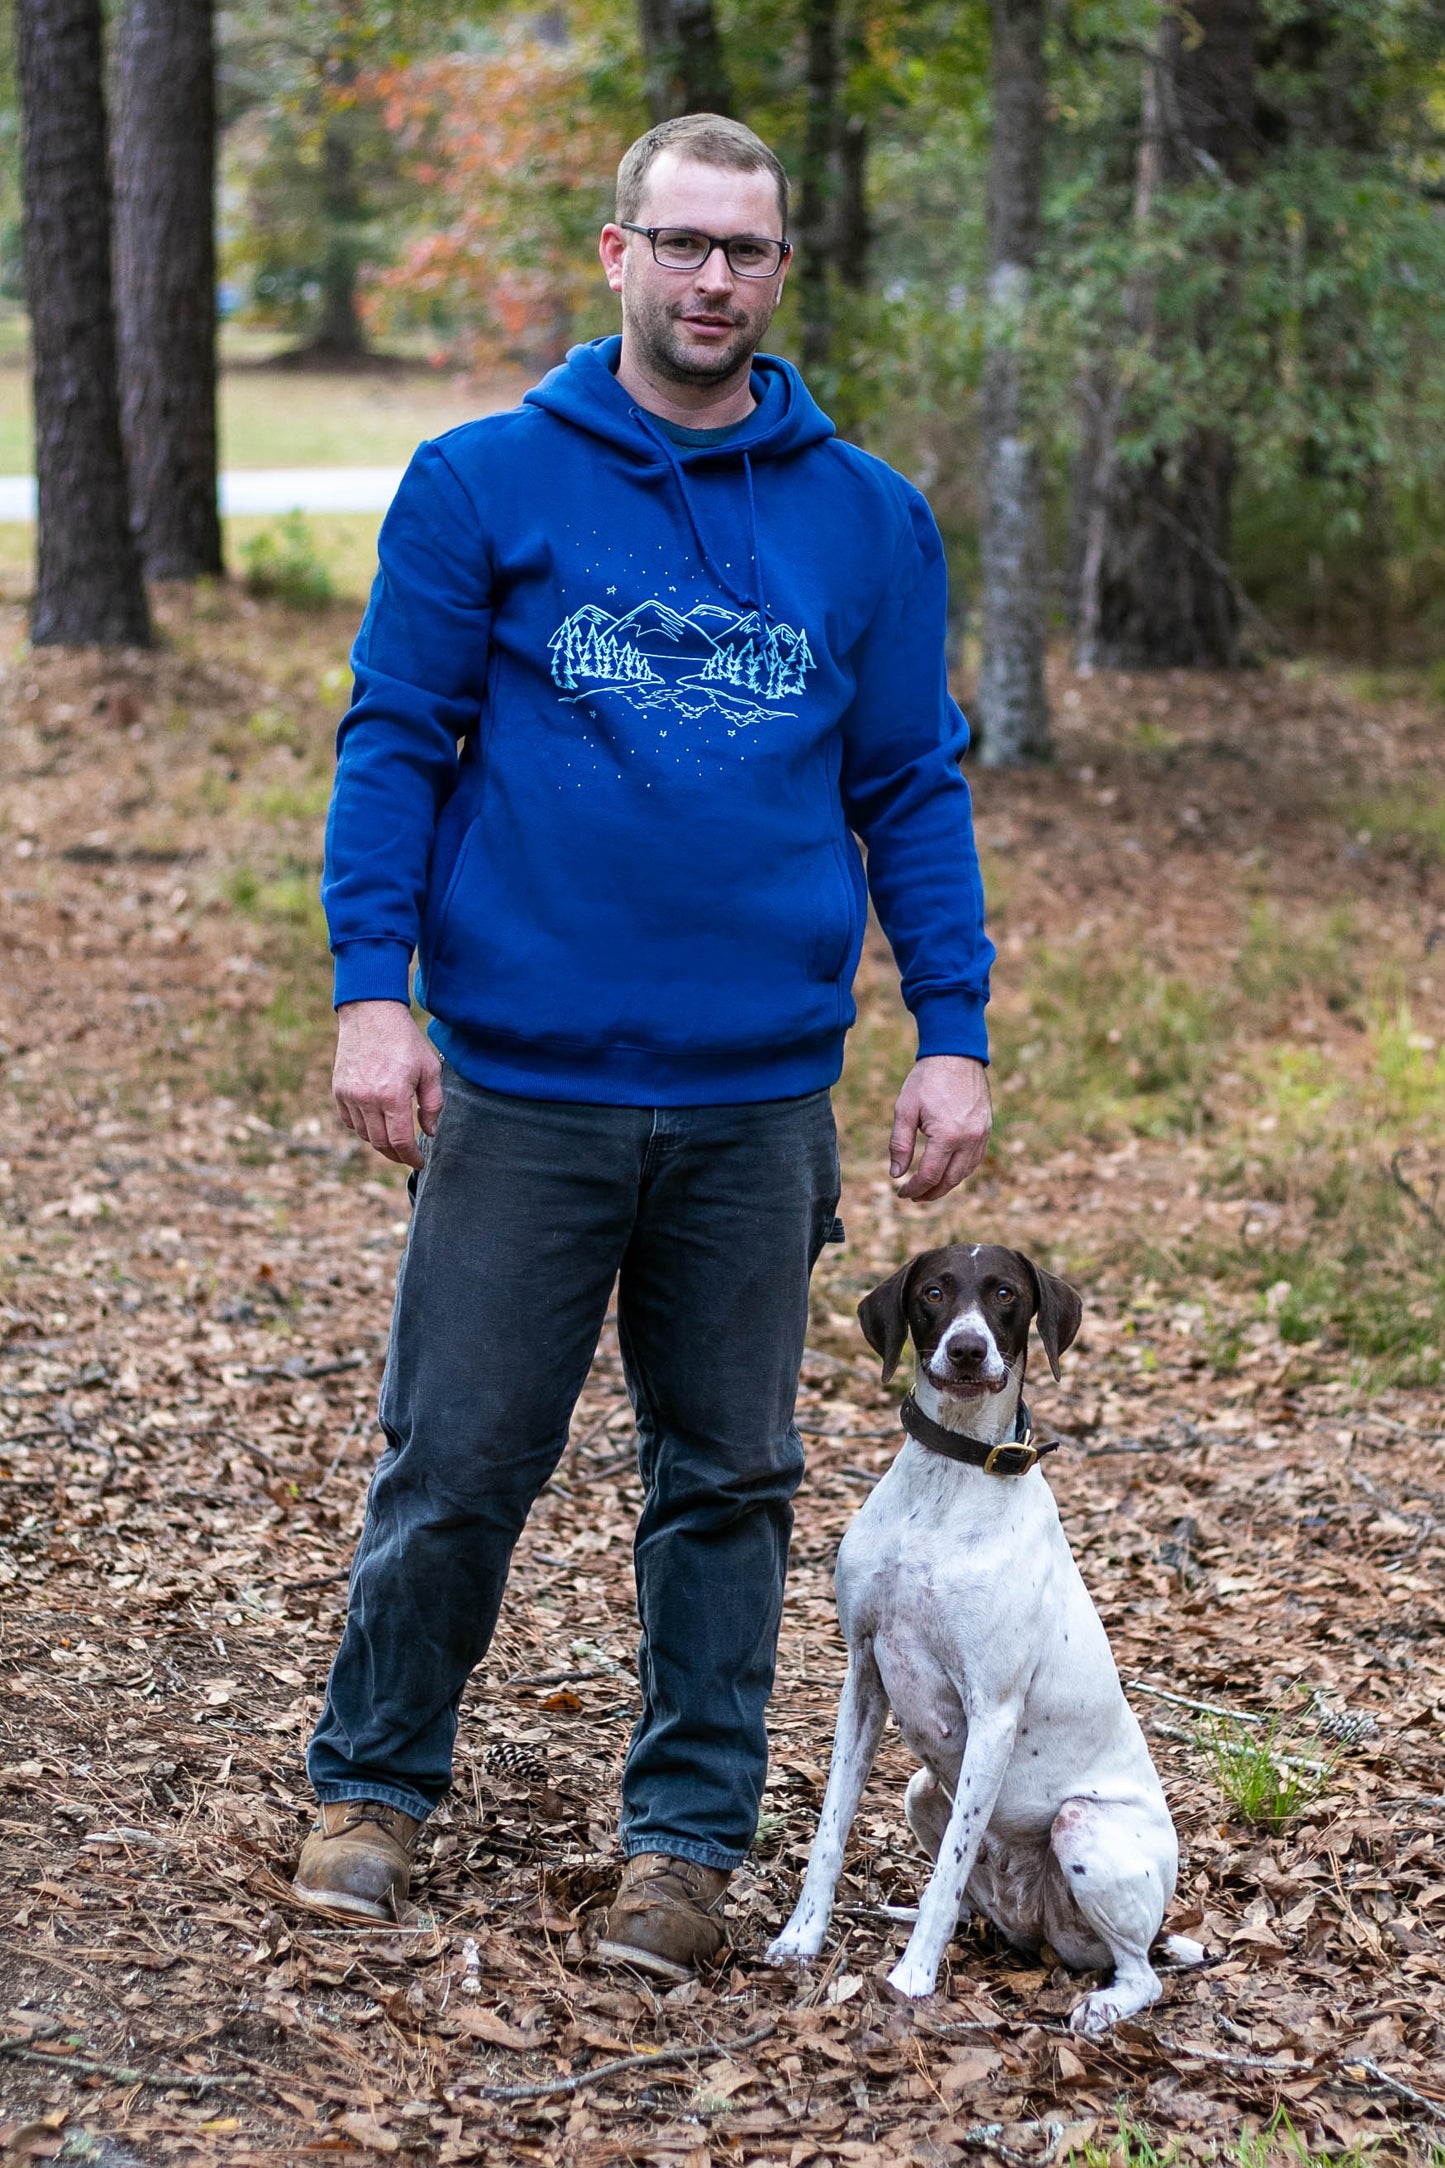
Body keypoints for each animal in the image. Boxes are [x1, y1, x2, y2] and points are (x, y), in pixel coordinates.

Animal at [775, 1248, 1204, 2020]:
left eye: (1005, 1295)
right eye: (932, 1292)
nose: (968, 1349)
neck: (950, 1479)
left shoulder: (993, 1712)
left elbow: (944, 1876)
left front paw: (912, 1978)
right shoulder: (863, 1678)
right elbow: (830, 1831)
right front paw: (802, 1937)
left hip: (1080, 1826)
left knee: (1141, 1975)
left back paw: (1102, 2006)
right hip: (922, 1791)